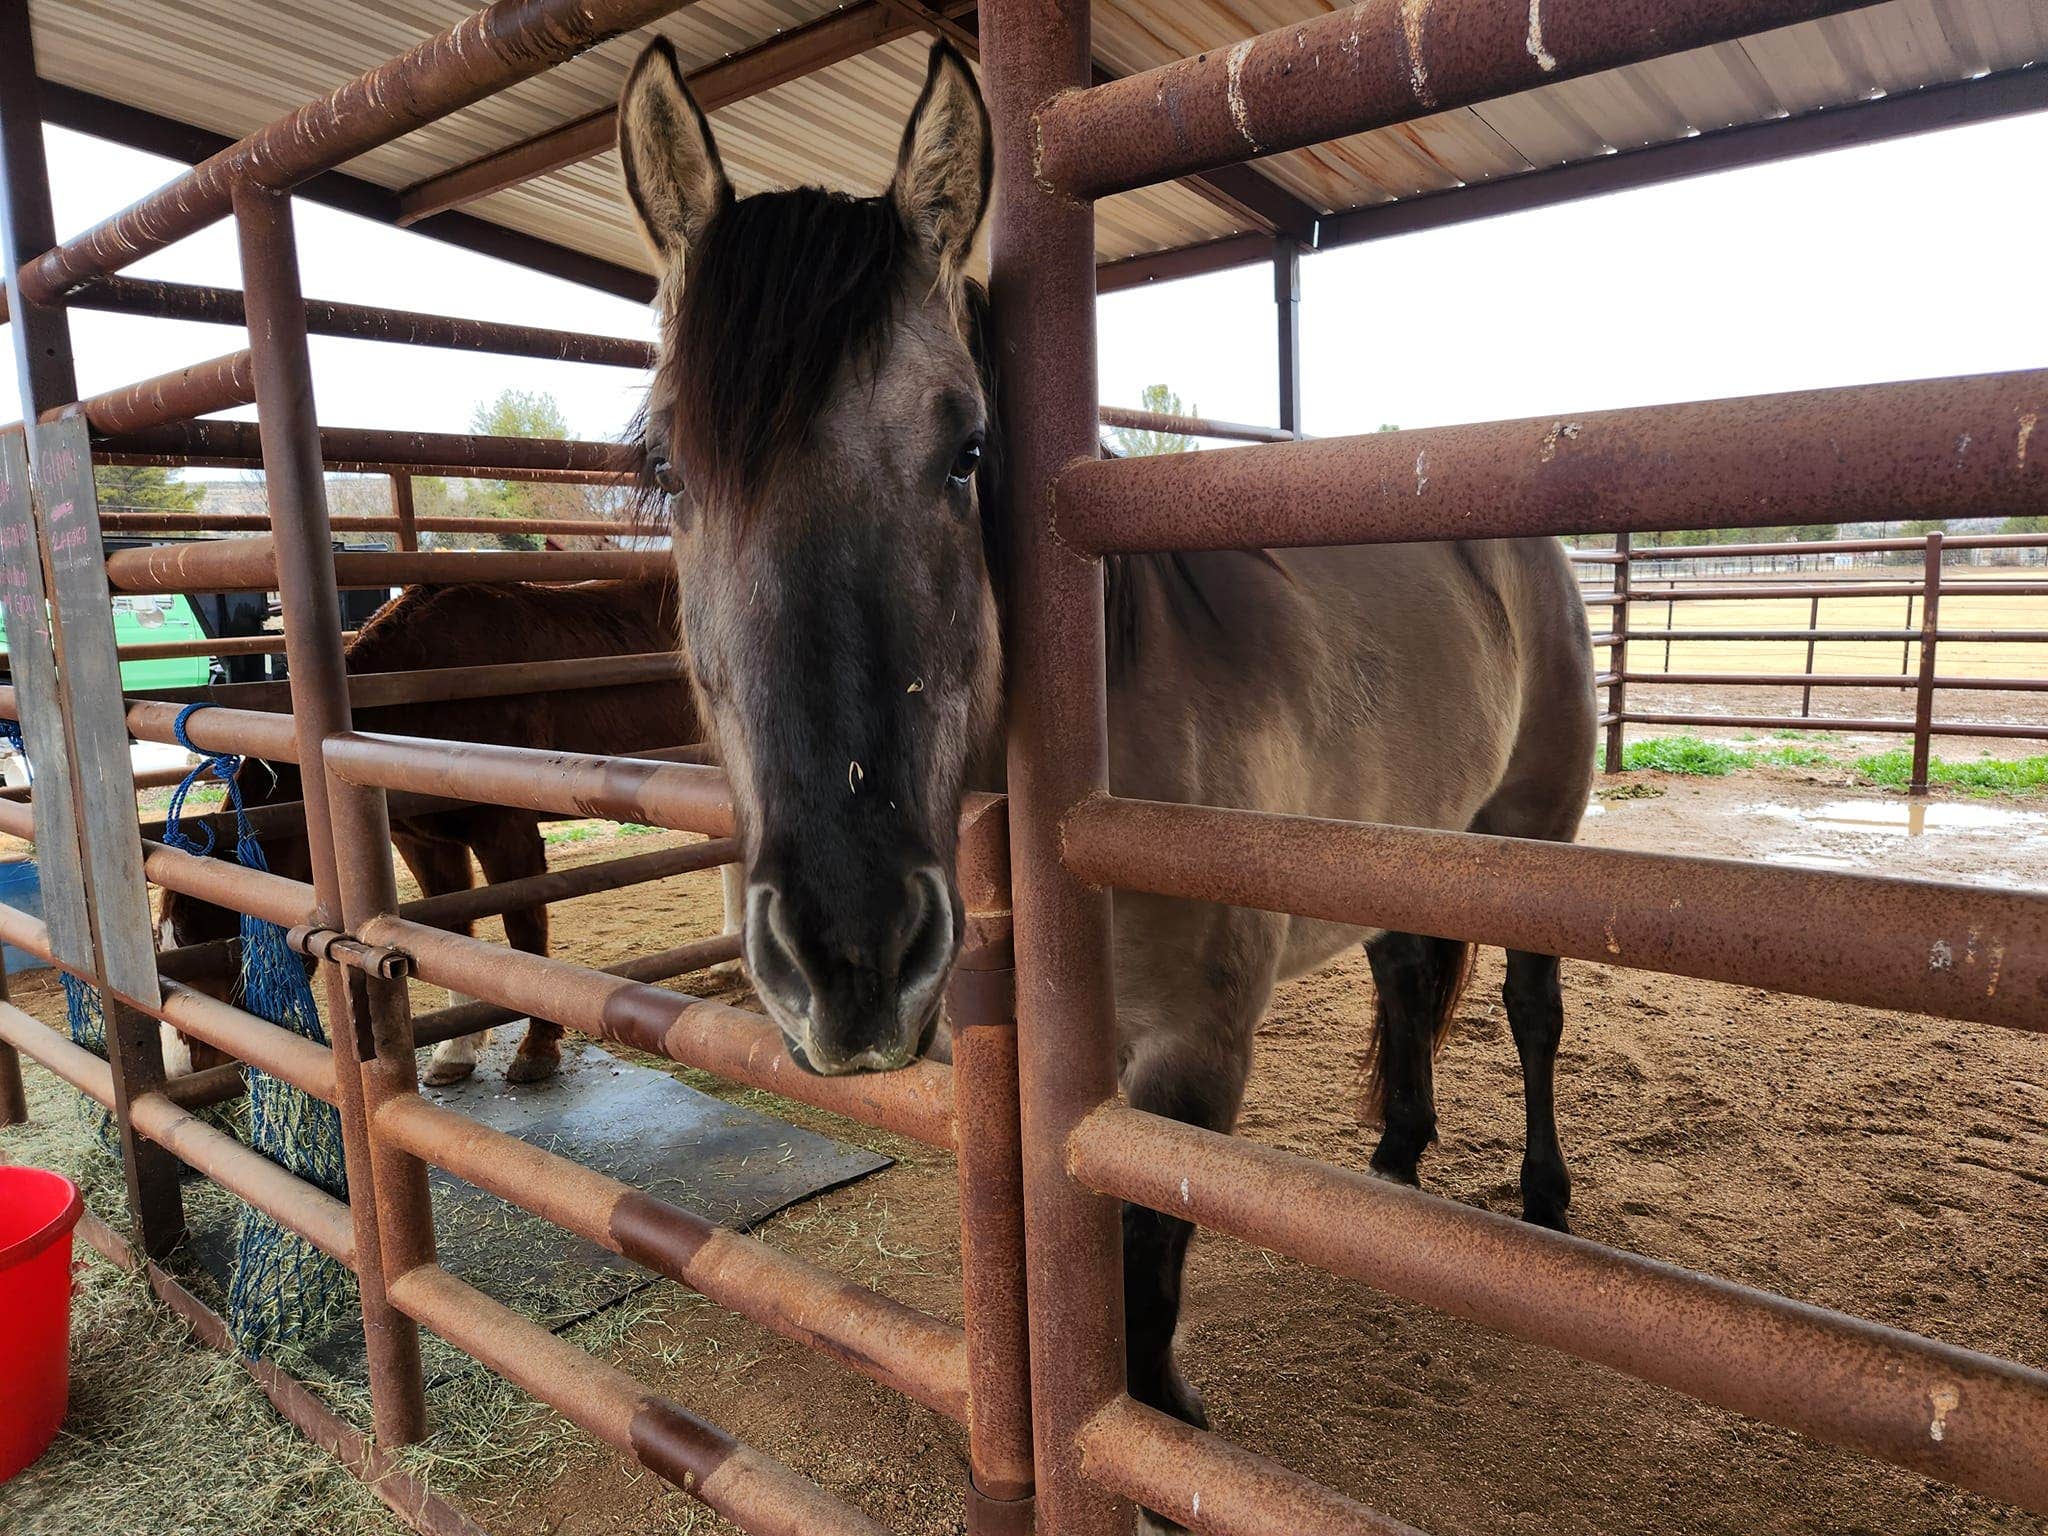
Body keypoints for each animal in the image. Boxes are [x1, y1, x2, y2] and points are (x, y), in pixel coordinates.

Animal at [156, 575, 728, 1087]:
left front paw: (537, 1050)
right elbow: (448, 928)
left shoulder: (507, 833)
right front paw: (456, 1051)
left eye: (208, 946)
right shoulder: (423, 843)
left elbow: (524, 932)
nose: (180, 1066)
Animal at [616, 33, 1596, 1486]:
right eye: (669, 473)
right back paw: (1393, 1163)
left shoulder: (1187, 1062)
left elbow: (1139, 1298)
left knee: (1532, 1008)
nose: (849, 950)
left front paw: (1159, 1438)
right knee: (1404, 974)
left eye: (968, 449)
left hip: (1534, 836)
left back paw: (1540, 1194)